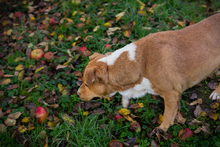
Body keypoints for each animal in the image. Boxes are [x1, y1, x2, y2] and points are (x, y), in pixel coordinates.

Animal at [78, 13, 220, 131]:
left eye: (86, 84)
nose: (78, 93)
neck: (140, 64)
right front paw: (125, 102)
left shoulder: (172, 94)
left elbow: (167, 116)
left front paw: (161, 130)